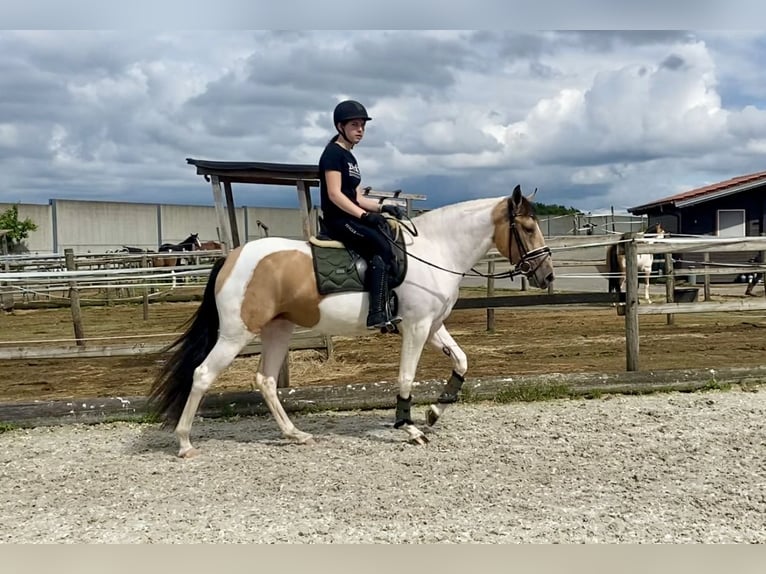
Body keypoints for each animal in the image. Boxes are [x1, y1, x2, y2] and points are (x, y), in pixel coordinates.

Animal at [147, 187, 556, 462]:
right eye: (526, 227)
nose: (547, 276)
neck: (436, 251)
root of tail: (231, 257)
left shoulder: (433, 326)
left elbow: (462, 361)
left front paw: (434, 412)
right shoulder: (416, 328)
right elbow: (406, 377)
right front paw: (409, 428)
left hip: (278, 330)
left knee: (265, 380)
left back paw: (295, 434)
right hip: (236, 334)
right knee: (202, 375)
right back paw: (184, 443)